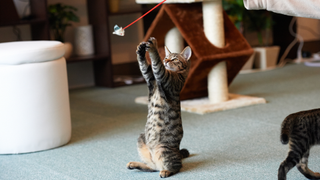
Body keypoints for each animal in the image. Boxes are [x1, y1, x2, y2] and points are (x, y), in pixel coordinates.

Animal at [127, 37, 192, 178]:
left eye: (174, 59)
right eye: (166, 57)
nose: (166, 61)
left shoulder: (164, 77)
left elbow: (155, 62)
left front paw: (153, 46)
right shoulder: (150, 78)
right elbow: (145, 65)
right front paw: (140, 50)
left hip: (162, 148)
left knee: (176, 167)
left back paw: (166, 171)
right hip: (142, 138)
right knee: (152, 167)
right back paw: (134, 164)